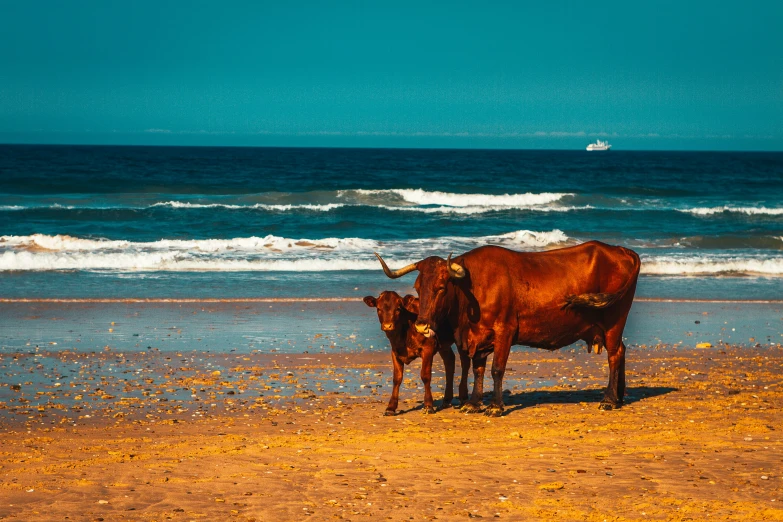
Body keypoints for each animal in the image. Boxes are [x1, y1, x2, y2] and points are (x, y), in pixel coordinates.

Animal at [376, 240, 640, 414]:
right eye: (418, 286)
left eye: (440, 287)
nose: (421, 324)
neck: (473, 287)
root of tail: (620, 250)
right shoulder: (478, 337)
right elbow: (478, 370)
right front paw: (473, 403)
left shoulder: (505, 330)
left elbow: (497, 369)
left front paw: (495, 406)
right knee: (621, 351)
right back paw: (619, 397)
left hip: (614, 320)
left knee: (614, 354)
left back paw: (608, 399)